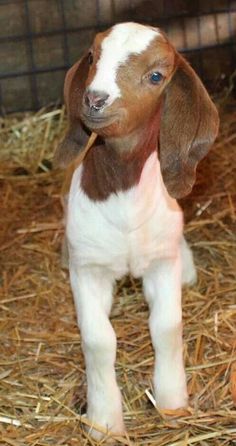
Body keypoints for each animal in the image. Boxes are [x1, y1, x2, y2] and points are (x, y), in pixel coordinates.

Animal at [55, 21, 219, 440]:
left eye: (156, 76)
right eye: (93, 56)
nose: (95, 99)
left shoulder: (160, 264)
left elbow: (166, 326)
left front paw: (173, 401)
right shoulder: (89, 269)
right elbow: (98, 339)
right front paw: (104, 420)